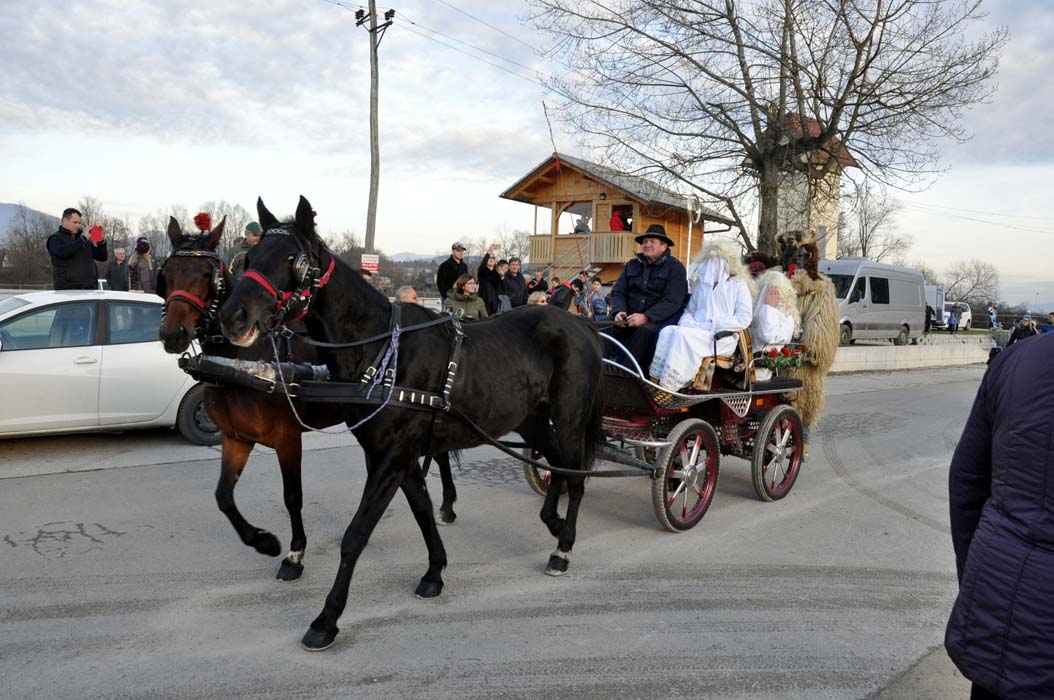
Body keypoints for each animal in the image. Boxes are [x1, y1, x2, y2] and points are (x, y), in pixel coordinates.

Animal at [155, 216, 460, 583]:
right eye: (167, 273)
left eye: (205, 274)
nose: (173, 334)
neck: (242, 362)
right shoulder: (236, 438)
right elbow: (223, 497)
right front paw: (263, 541)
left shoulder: (287, 437)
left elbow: (292, 497)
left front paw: (294, 554)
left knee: (439, 454)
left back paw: (447, 505)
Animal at [218, 196, 605, 651]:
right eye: (250, 258)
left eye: (291, 260)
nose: (233, 317)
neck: (383, 348)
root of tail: (582, 325)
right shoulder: (390, 455)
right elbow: (421, 509)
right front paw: (435, 570)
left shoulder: (393, 455)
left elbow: (356, 535)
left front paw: (327, 619)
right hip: (531, 419)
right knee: (556, 464)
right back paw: (553, 521)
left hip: (570, 416)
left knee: (574, 474)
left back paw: (563, 547)